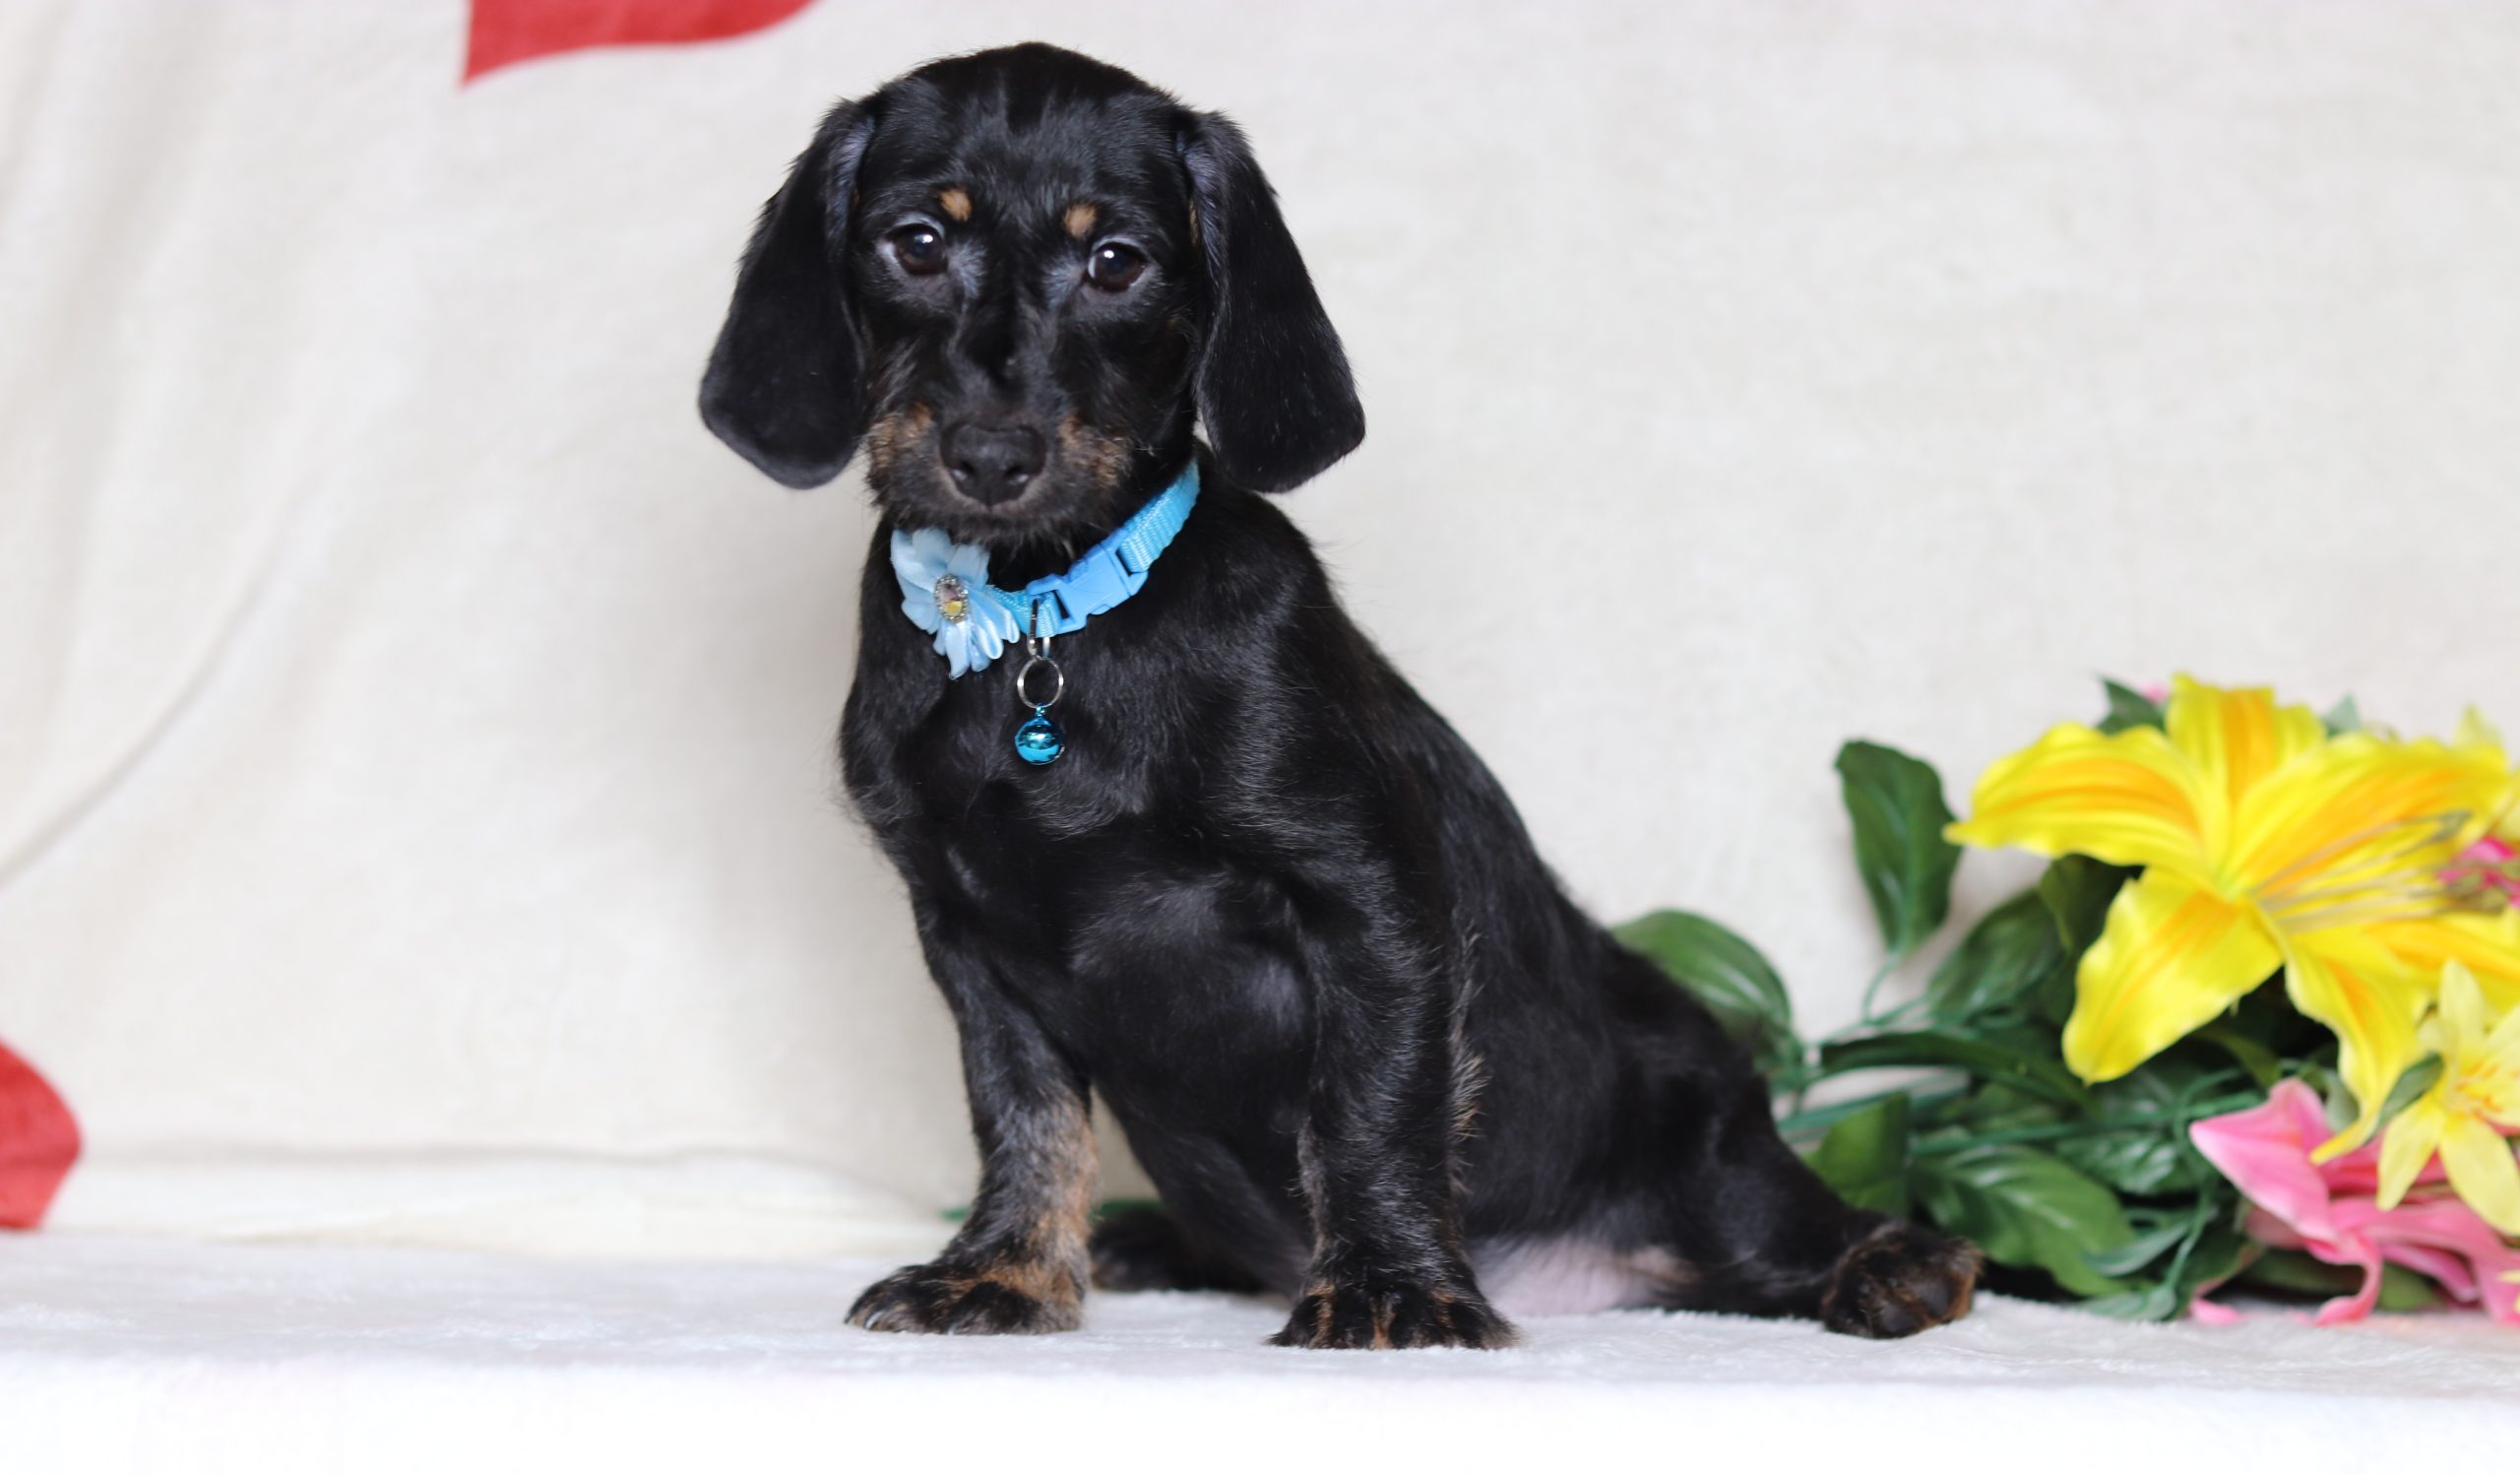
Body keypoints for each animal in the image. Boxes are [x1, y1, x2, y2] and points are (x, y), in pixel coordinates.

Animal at [700, 42, 1979, 1349]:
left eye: (1117, 262)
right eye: (914, 242)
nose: (991, 456)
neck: (1039, 629)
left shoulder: (1370, 898)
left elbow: (1370, 1103)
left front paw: (1389, 1284)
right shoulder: (970, 939)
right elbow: (1024, 1115)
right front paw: (1004, 1268)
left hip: (1705, 1133)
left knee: (1783, 1223)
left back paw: (1894, 1263)